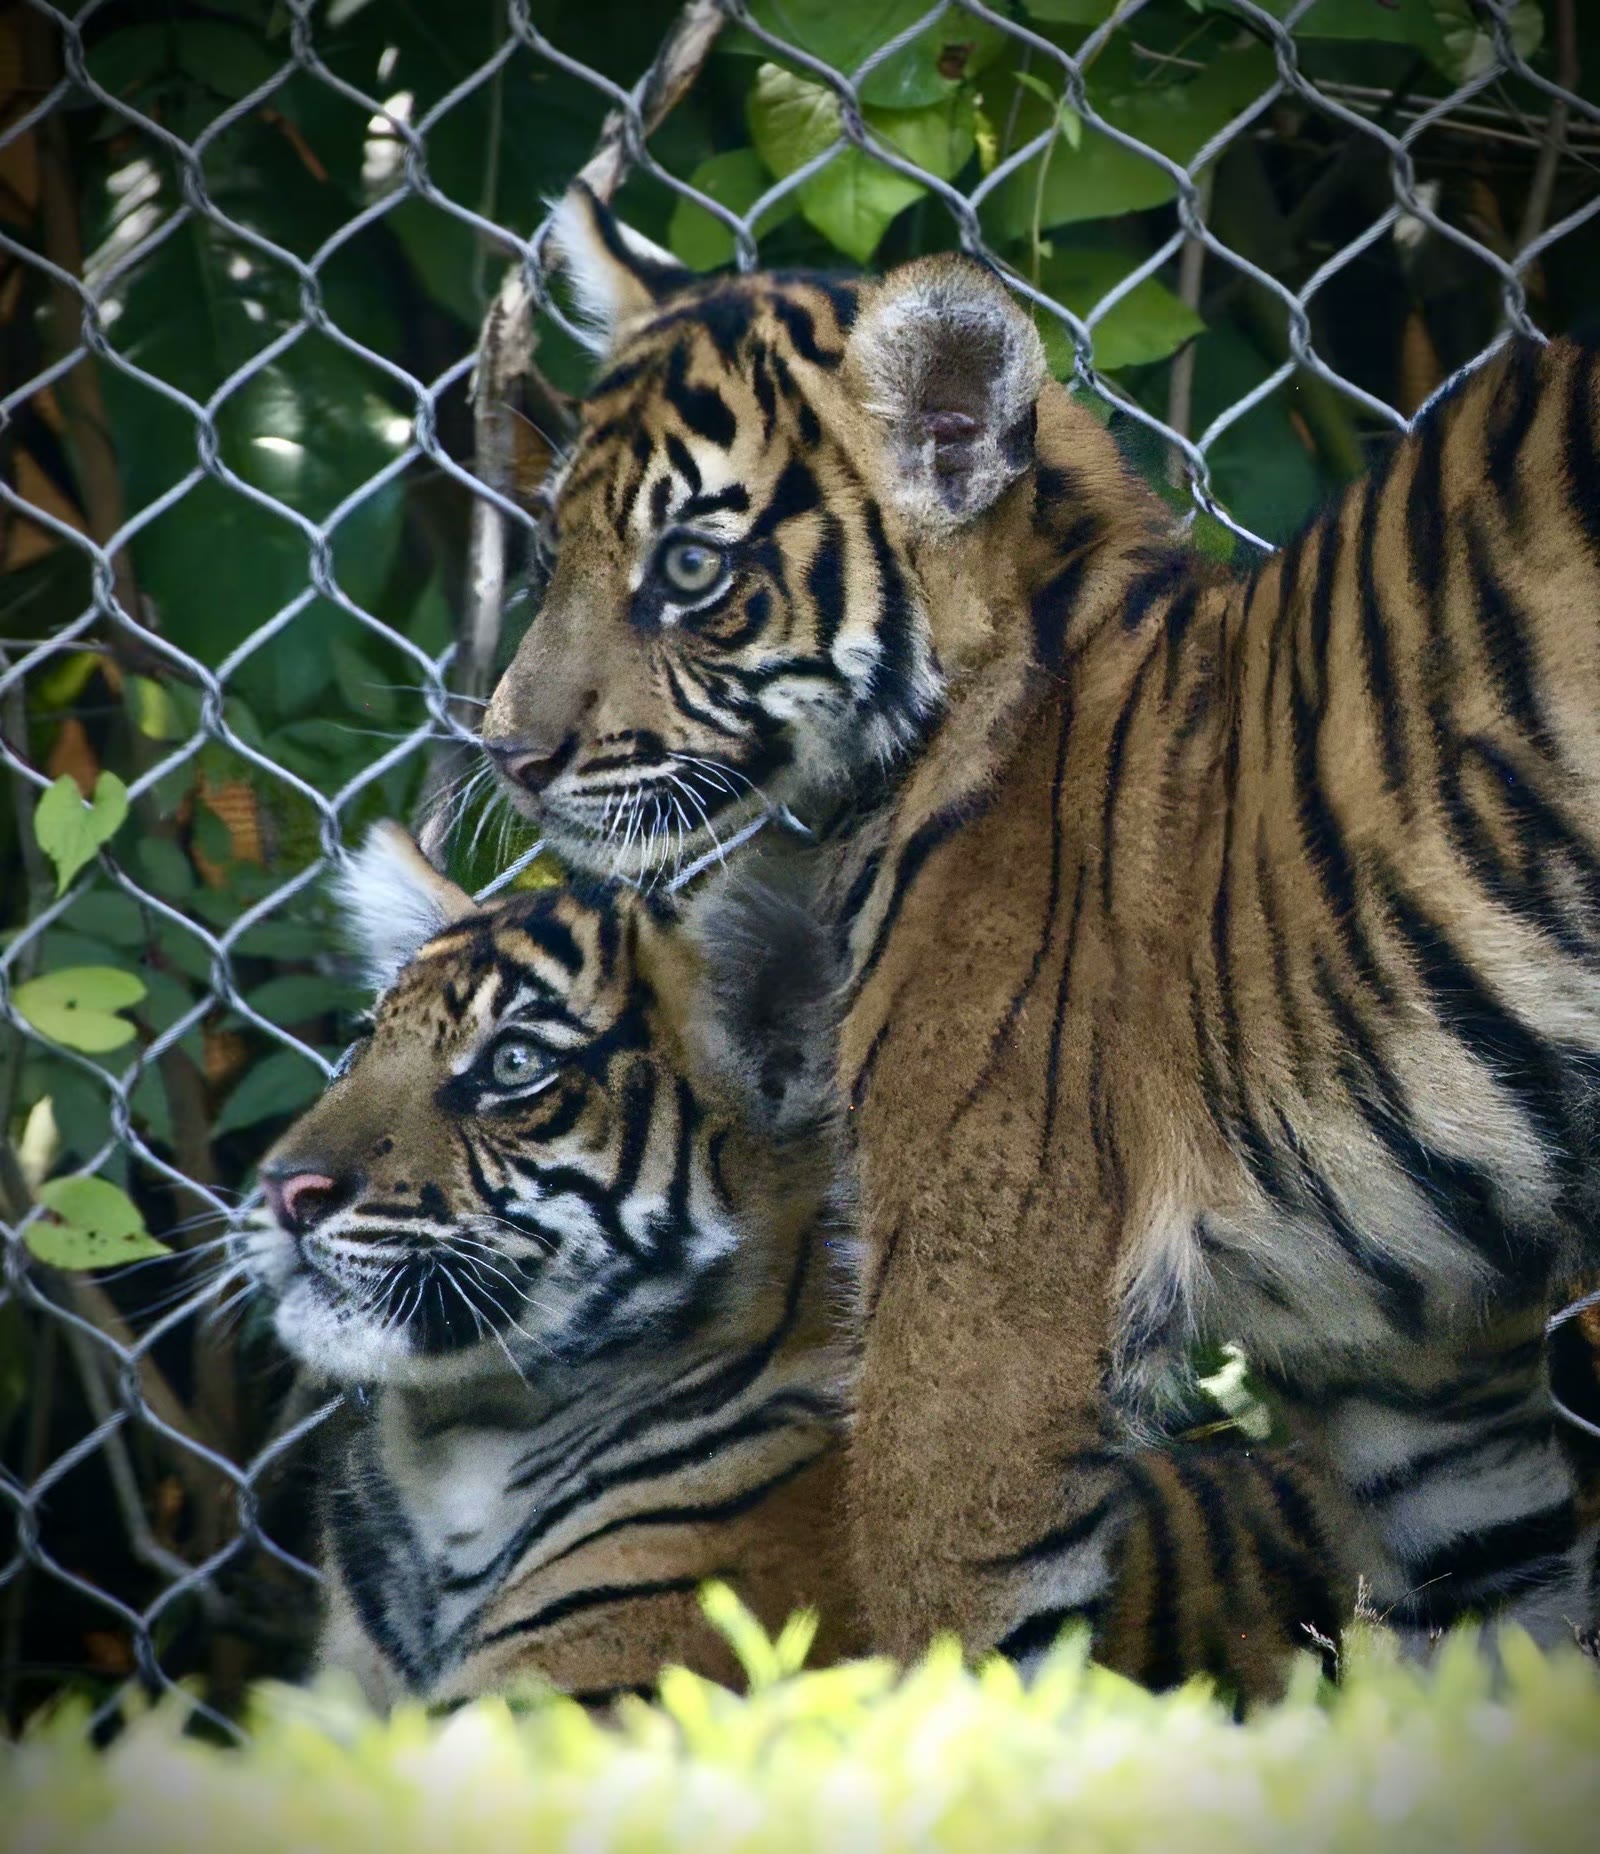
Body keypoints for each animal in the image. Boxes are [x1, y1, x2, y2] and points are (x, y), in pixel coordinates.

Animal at [476, 183, 1600, 1700]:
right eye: (556, 554)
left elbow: (963, 1657)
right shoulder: (1414, 1374)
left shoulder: (982, 1312)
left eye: (690, 568)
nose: (508, 754)